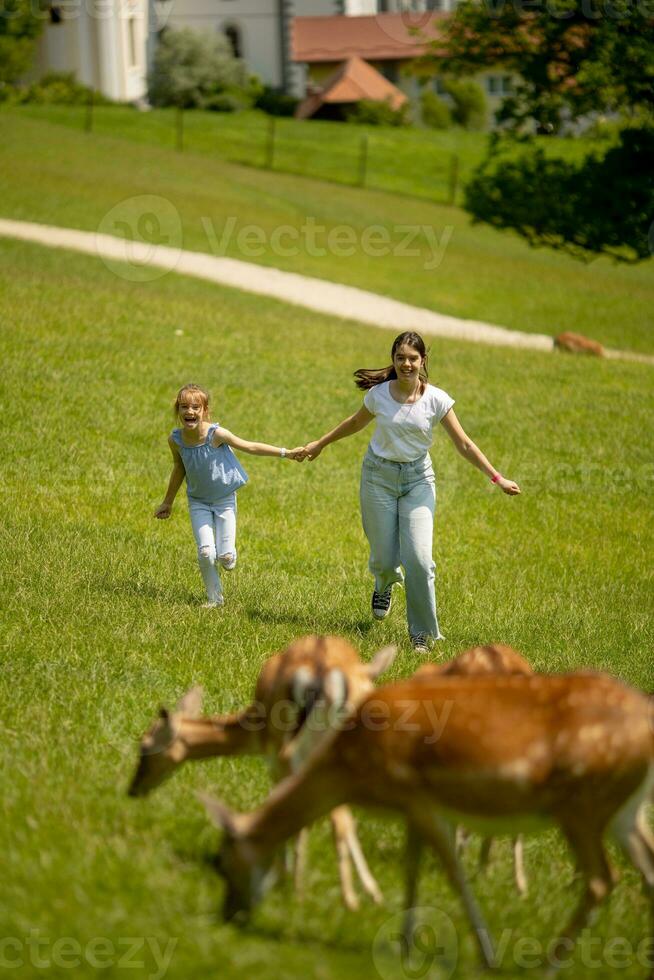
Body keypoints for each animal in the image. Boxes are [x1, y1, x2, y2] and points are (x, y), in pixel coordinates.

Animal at [127, 636, 394, 912]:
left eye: (145, 747)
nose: (133, 789)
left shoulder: (276, 761)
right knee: (344, 818)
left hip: (300, 752)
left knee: (333, 817)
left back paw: (321, 895)